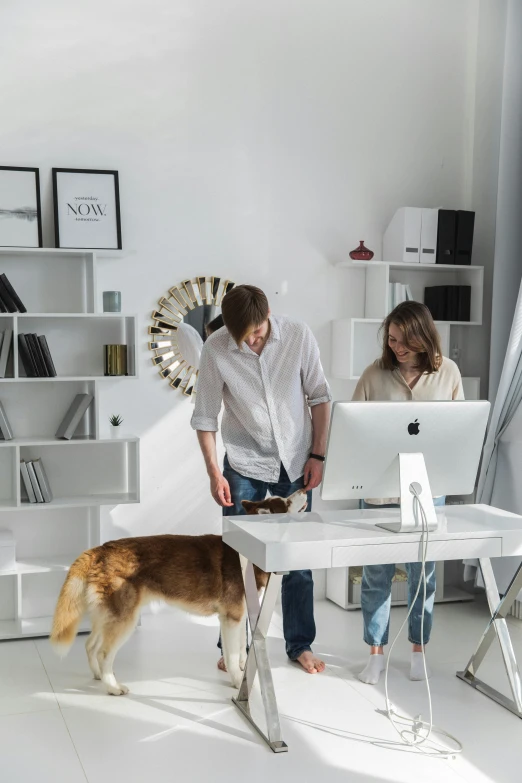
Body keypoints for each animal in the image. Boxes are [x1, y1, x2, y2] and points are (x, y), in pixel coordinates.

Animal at [49, 486, 304, 696]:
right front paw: (235, 680)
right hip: (125, 619)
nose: (303, 488)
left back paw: (98, 676)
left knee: (90, 645)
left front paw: (243, 673)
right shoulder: (230, 618)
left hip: (107, 616)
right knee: (103, 653)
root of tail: (101, 549)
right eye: (286, 501)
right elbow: (231, 656)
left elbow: (242, 649)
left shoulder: (239, 616)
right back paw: (112, 686)